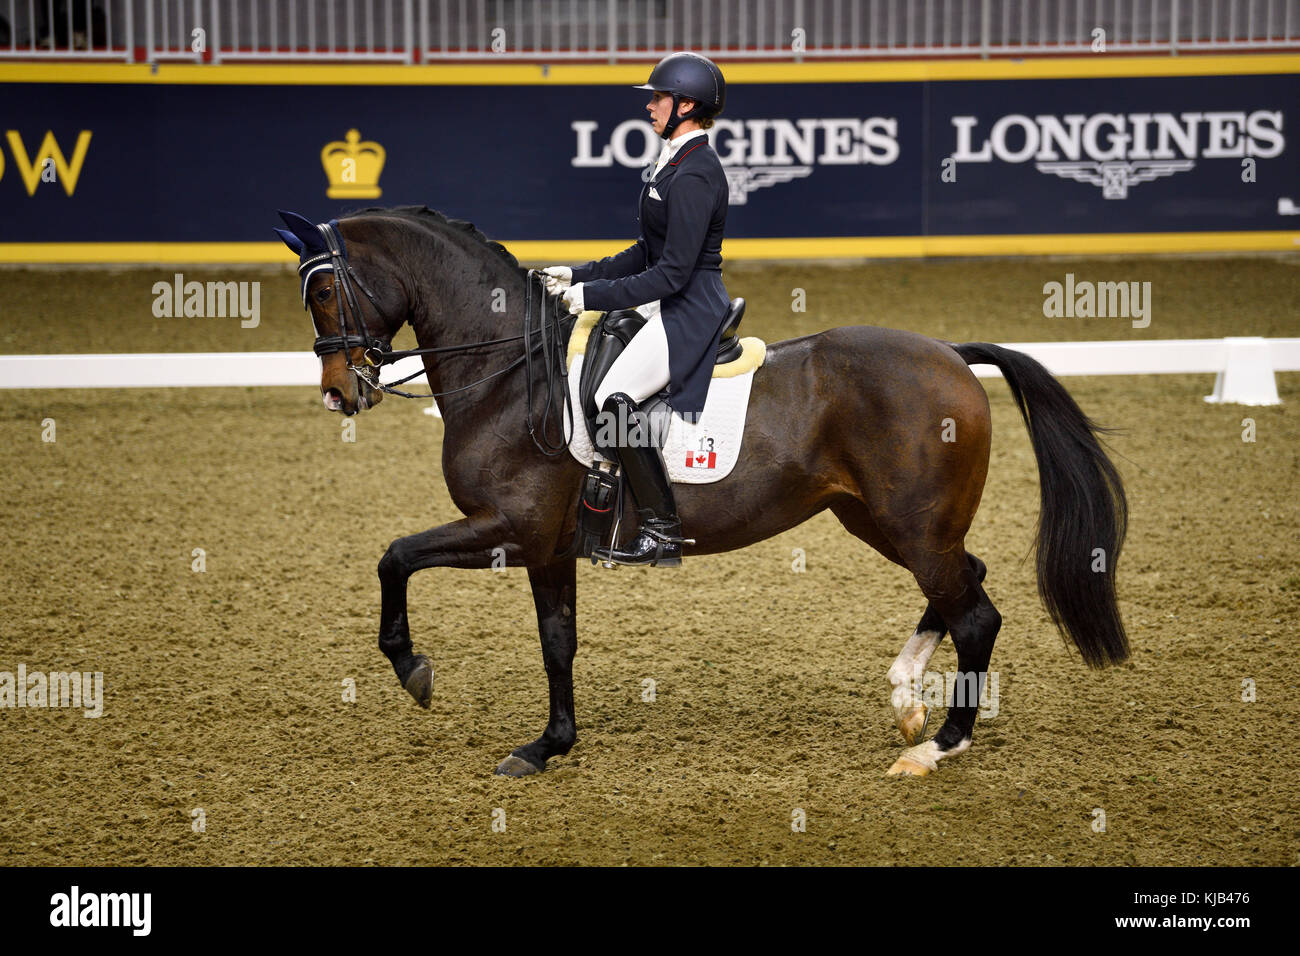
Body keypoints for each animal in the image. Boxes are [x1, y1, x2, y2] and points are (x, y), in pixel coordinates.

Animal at [273, 205, 1129, 778]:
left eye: (324, 293)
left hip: (911, 525)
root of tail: (951, 353)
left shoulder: (510, 529)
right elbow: (557, 642)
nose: (338, 394)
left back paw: (937, 746)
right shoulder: (549, 548)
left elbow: (394, 556)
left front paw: (412, 670)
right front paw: (550, 746)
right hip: (882, 520)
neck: (512, 373)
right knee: (963, 584)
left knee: (976, 611)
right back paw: (907, 697)